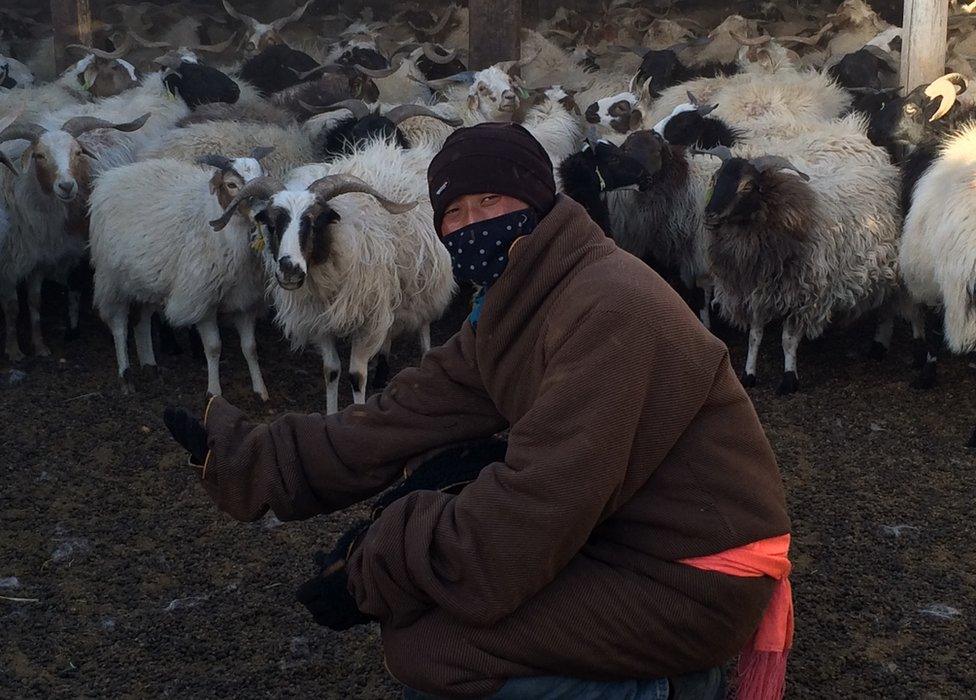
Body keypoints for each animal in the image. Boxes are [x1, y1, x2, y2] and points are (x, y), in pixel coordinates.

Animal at [0, 110, 151, 360]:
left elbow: (35, 303)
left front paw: (40, 346)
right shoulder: (9, 266)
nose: (66, 186)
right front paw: (14, 351)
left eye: (77, 152)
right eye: (39, 155)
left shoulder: (38, 260)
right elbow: (12, 308)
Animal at [88, 148, 274, 400]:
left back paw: (150, 366)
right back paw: (126, 376)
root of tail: (112, 176)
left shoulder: (244, 301)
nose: (263, 212)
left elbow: (250, 349)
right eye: (231, 184)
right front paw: (214, 393)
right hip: (112, 279)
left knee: (142, 320)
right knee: (119, 324)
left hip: (146, 279)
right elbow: (213, 347)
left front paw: (260, 390)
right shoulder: (201, 300)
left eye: (262, 175)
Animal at [210, 139, 454, 418]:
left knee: (423, 322)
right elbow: (331, 372)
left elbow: (356, 376)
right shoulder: (320, 322)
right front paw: (331, 414)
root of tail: (412, 153)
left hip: (424, 281)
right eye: (272, 224)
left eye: (316, 221)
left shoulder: (367, 319)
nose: (289, 269)